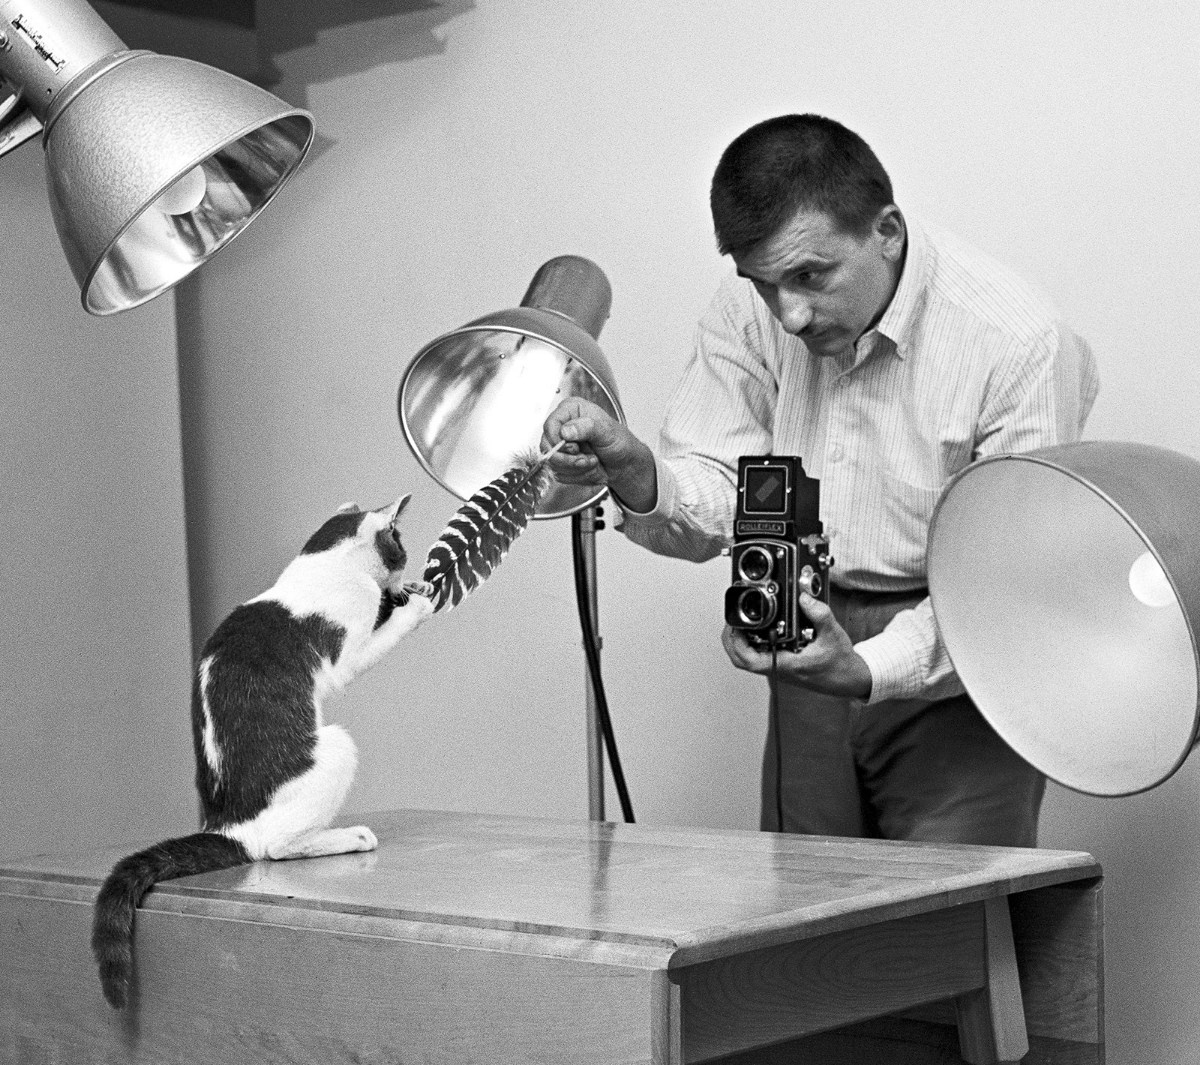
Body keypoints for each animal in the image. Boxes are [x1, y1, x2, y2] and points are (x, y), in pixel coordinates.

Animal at [91, 491, 436, 1007]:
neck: (320, 565)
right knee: (275, 847)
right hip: (336, 745)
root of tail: (230, 825)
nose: (403, 579)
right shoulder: (347, 647)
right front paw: (414, 605)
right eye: (401, 547)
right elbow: (377, 637)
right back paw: (347, 836)